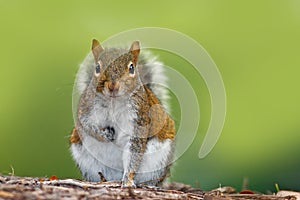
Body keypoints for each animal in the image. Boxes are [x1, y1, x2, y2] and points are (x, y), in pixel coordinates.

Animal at [70, 39, 176, 188]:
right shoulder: (86, 109)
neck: (113, 101)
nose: (113, 86)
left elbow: (133, 153)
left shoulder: (139, 119)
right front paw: (104, 134)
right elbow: (86, 124)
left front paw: (128, 181)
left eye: (131, 68)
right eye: (97, 68)